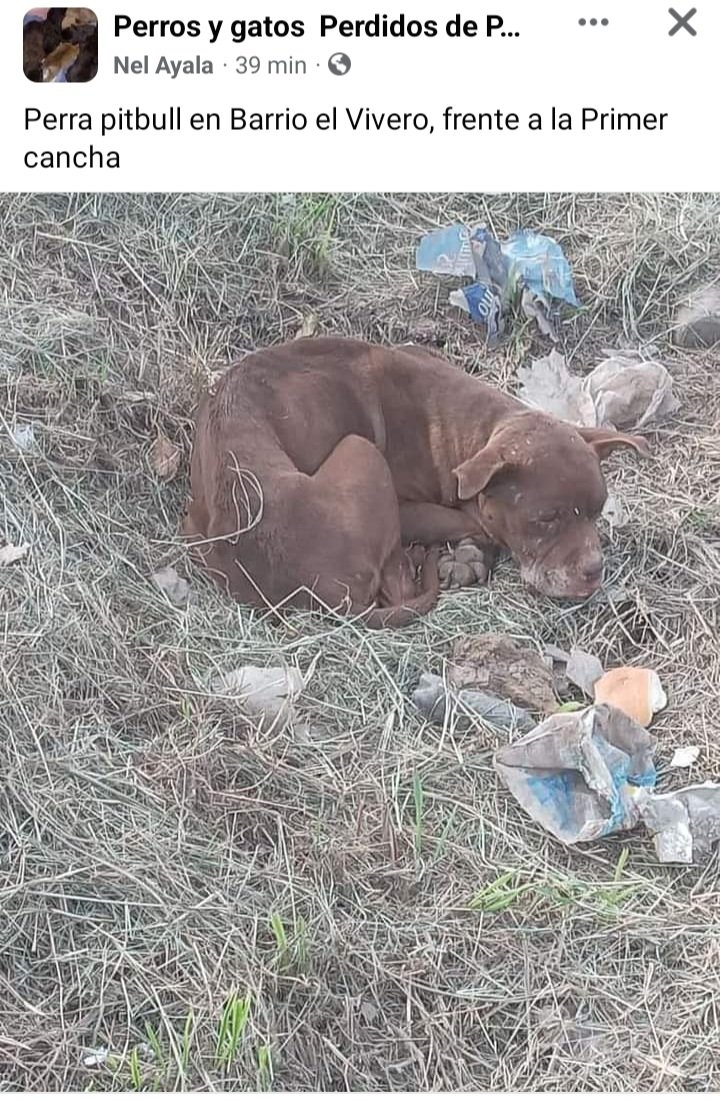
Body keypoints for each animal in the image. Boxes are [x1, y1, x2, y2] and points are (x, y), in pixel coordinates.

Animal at [183, 334, 651, 625]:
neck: (467, 424)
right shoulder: (412, 507)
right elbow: (473, 520)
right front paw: (470, 552)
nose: (594, 571)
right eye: (545, 519)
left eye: (597, 512)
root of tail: (318, 590)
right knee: (397, 584)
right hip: (361, 450)